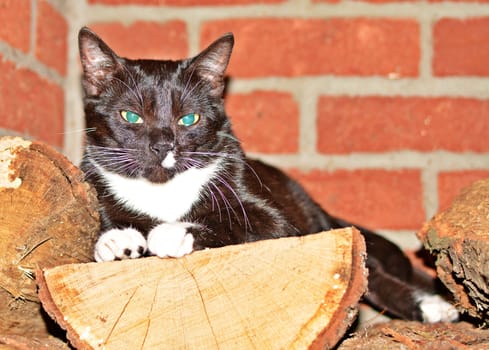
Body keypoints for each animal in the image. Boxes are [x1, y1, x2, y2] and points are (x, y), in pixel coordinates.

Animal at [78, 27, 456, 322]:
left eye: (189, 119)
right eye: (130, 116)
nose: (162, 146)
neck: (162, 189)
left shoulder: (274, 219)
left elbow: (238, 223)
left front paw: (170, 233)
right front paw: (116, 240)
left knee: (374, 274)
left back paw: (434, 308)